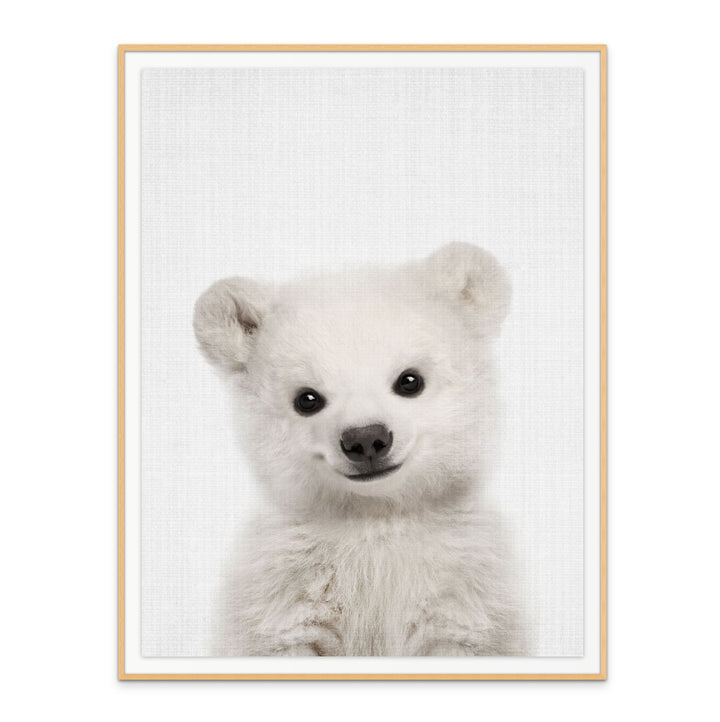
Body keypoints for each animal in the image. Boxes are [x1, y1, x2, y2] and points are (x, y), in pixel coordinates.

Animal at [193, 242, 524, 656]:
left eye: (410, 380)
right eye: (307, 399)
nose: (366, 439)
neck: (374, 518)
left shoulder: (463, 591)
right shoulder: (284, 592)